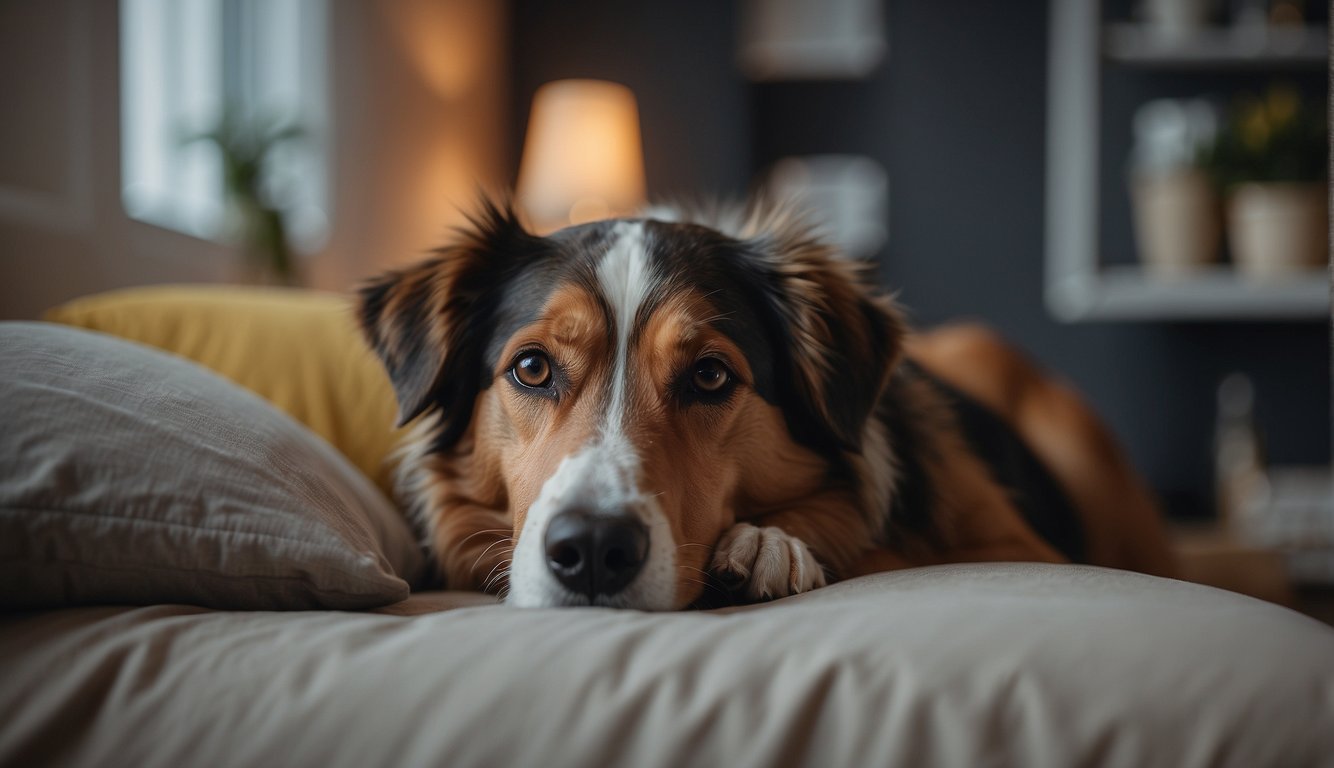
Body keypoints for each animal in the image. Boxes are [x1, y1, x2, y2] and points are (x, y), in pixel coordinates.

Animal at [357, 201, 1179, 608]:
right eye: (531, 368)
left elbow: (883, 542)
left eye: (710, 377)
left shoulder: (1021, 549)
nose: (591, 551)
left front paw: (767, 545)